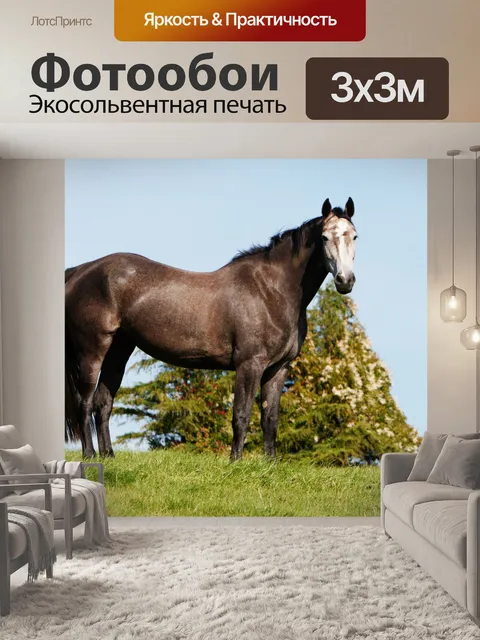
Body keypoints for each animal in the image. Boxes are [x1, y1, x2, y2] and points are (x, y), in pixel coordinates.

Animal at [65, 197, 357, 460]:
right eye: (324, 237)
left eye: (354, 236)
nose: (345, 280)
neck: (271, 290)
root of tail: (81, 270)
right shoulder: (249, 364)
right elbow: (241, 414)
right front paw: (235, 462)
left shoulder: (278, 368)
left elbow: (270, 419)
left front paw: (270, 464)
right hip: (92, 350)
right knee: (85, 401)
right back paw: (90, 456)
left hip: (119, 349)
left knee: (103, 402)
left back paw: (108, 456)